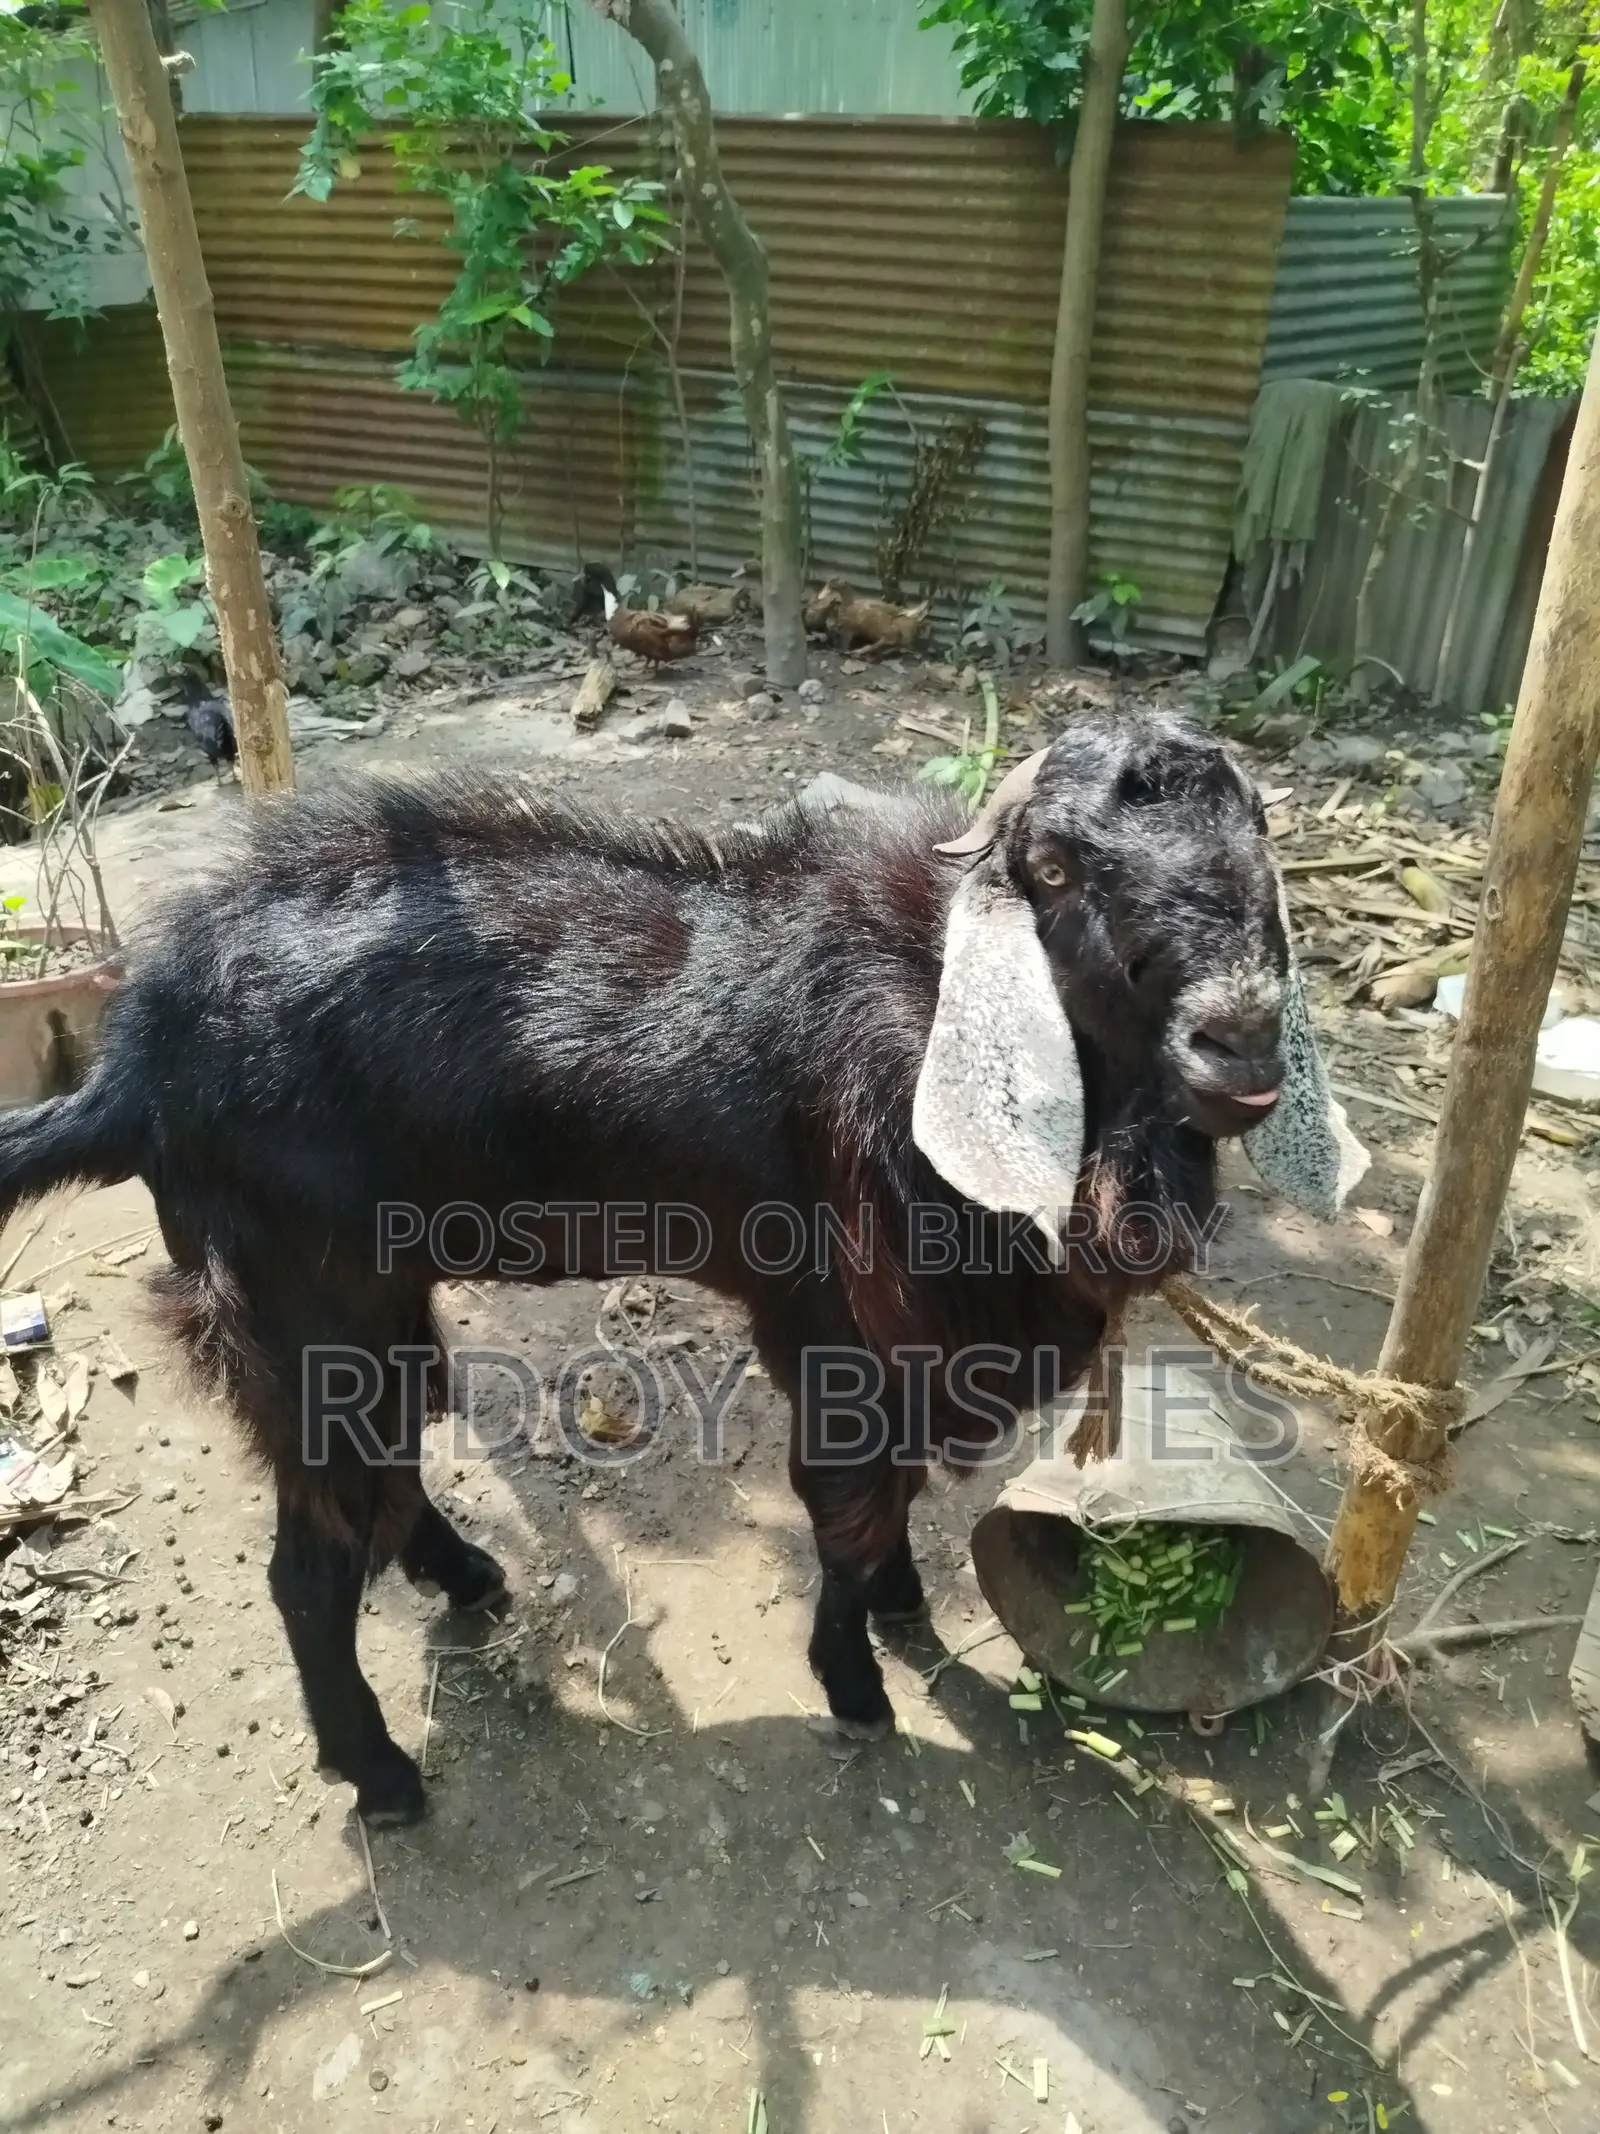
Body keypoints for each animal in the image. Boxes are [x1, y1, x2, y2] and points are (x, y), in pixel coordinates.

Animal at [0, 711, 1364, 1824]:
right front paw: (858, 1683)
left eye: (1257, 833)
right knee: (309, 1561)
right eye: (1058, 867)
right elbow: (848, 1510)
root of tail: (133, 1068)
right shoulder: (848, 1328)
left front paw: (903, 1608)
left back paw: (469, 1578)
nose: (1237, 1040)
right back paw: (381, 1774)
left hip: (365, 1307)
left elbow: (891, 1502)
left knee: (380, 1478)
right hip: (300, 1302)